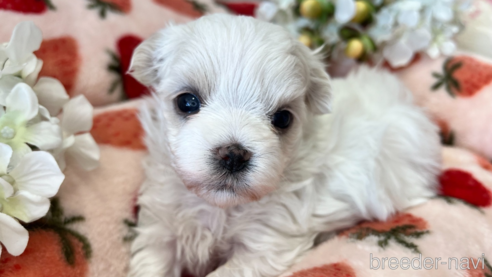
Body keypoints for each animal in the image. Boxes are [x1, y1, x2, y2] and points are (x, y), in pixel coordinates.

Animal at [129, 13, 440, 276]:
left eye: (282, 118)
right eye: (187, 102)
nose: (233, 155)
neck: (219, 207)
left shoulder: (266, 243)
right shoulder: (160, 228)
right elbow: (151, 262)